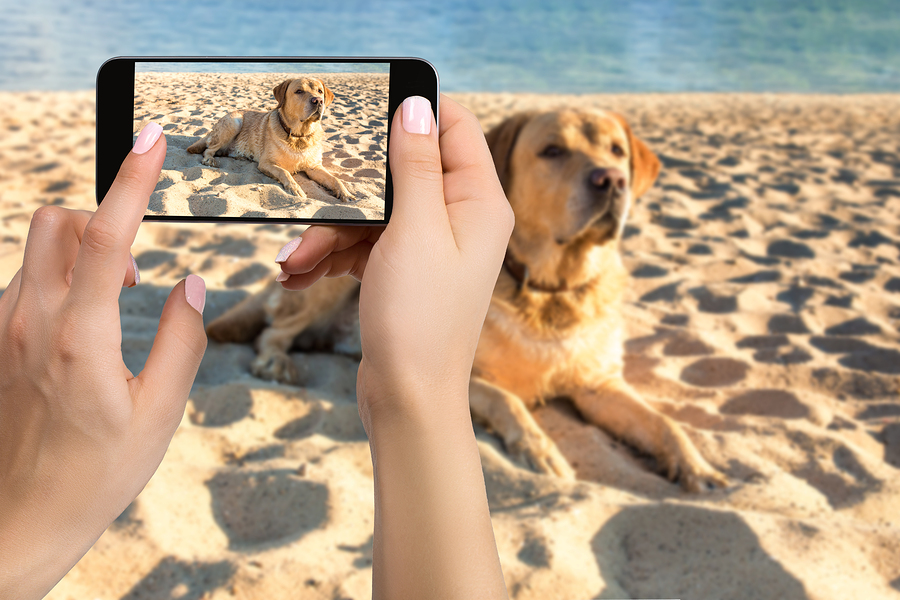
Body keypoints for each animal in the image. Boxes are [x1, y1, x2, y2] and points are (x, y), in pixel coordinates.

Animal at [185, 77, 348, 202]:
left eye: (320, 91)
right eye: (299, 91)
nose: (318, 101)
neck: (298, 136)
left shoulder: (314, 167)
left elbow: (335, 179)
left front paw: (345, 192)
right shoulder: (266, 163)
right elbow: (285, 172)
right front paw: (295, 188)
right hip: (234, 122)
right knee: (208, 149)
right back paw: (209, 159)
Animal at [206, 108, 732, 492]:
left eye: (617, 151)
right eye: (553, 151)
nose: (613, 181)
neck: (550, 291)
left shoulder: (599, 384)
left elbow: (664, 423)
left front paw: (698, 467)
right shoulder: (468, 378)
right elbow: (510, 401)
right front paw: (540, 450)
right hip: (327, 287)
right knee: (273, 331)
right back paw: (275, 362)